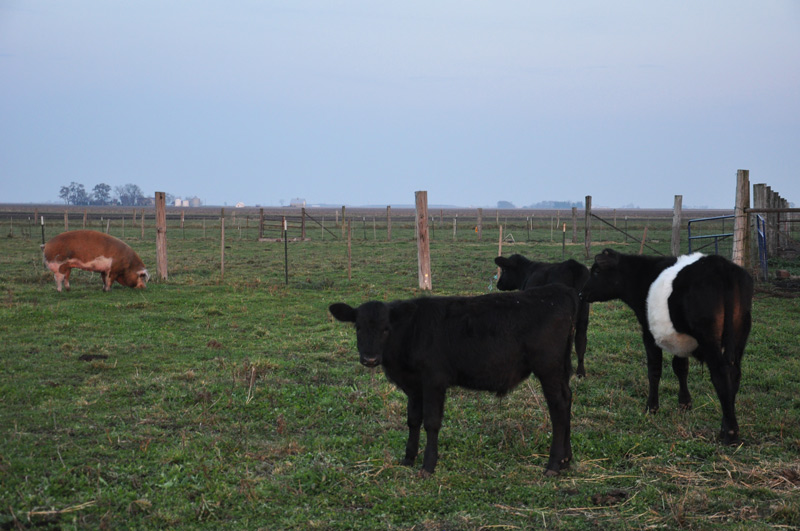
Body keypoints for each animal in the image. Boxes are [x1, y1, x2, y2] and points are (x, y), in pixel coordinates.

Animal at [329, 284, 578, 477]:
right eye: (358, 328)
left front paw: (428, 466)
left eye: (385, 329)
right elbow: (413, 420)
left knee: (557, 407)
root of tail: (559, 291)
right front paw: (408, 459)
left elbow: (431, 422)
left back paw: (553, 464)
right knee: (567, 400)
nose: (370, 359)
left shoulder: (434, 380)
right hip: (560, 370)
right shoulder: (414, 386)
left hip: (548, 368)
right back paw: (566, 460)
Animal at [580, 248, 753, 445]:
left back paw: (730, 434)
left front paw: (651, 407)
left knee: (721, 375)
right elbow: (681, 368)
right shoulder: (681, 339)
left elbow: (654, 370)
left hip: (709, 339)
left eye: (596, 271)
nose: (581, 294)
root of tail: (722, 267)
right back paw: (726, 427)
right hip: (740, 336)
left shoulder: (648, 334)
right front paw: (685, 403)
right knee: (734, 375)